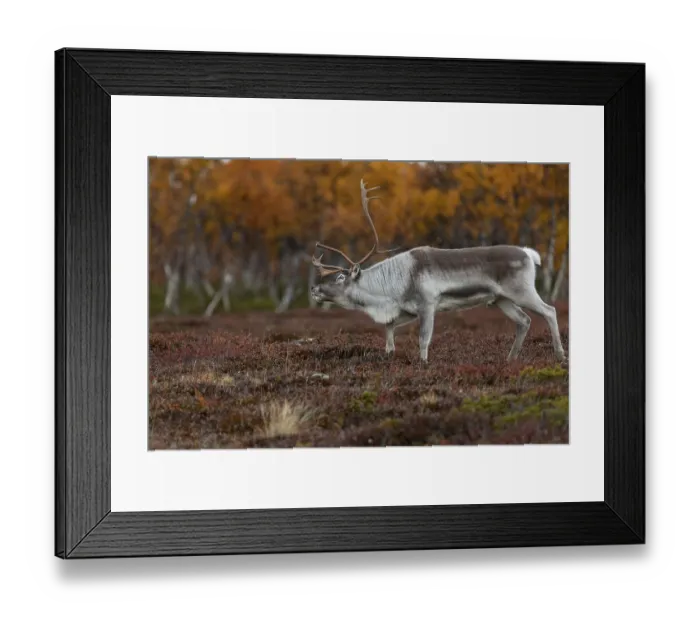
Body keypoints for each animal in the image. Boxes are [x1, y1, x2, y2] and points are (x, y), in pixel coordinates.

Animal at [310, 179, 567, 364]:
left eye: (340, 276)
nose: (313, 288)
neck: (390, 289)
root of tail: (528, 254)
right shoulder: (407, 309)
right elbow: (388, 326)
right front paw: (389, 352)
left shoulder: (428, 304)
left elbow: (423, 339)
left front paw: (423, 364)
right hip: (500, 299)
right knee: (524, 320)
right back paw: (510, 359)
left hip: (522, 291)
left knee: (549, 310)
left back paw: (559, 355)